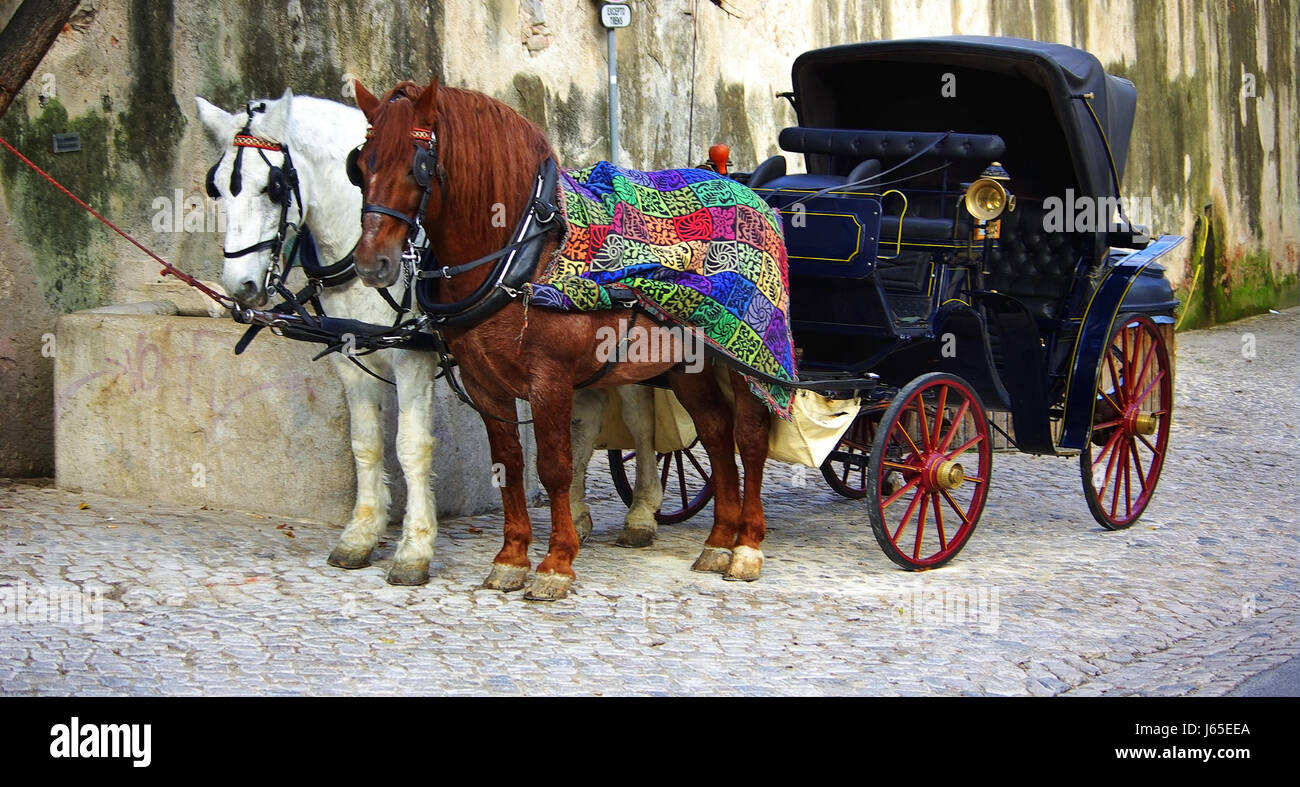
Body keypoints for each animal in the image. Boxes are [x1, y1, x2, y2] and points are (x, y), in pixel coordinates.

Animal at [346, 78, 788, 600]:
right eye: (361, 164)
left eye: (418, 165)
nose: (372, 263)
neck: (523, 250)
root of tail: (741, 184)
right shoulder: (482, 383)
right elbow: (509, 463)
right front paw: (511, 557)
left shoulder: (550, 379)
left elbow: (555, 466)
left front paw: (555, 563)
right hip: (688, 364)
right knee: (717, 434)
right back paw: (719, 541)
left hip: (745, 362)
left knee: (750, 438)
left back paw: (747, 546)